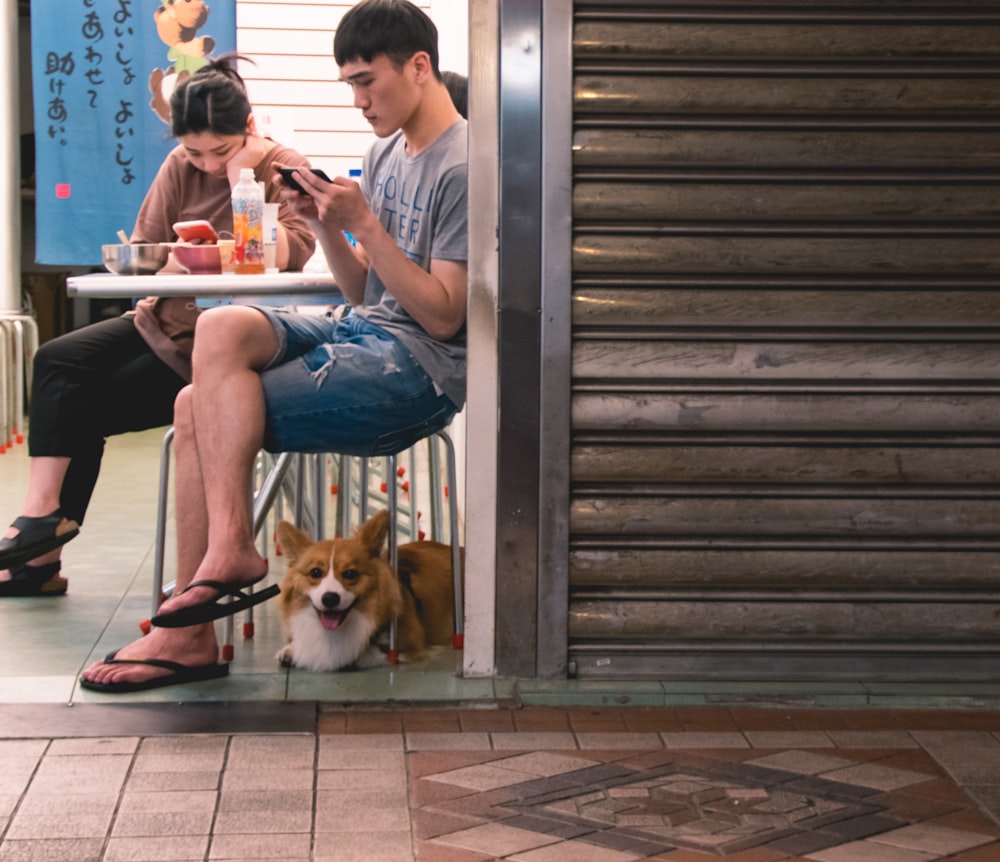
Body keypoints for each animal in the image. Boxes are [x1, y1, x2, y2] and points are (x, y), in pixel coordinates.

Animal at [276, 510, 458, 672]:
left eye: (350, 573)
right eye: (315, 572)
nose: (330, 599)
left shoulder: (413, 642)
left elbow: (374, 652)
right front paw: (290, 649)